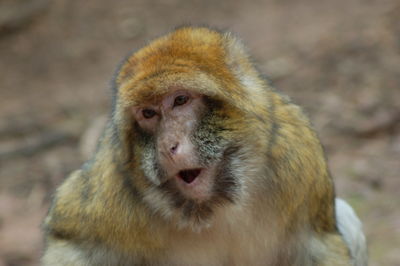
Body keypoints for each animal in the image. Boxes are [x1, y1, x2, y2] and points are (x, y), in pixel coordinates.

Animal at [40, 27, 366, 266]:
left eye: (180, 100)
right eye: (148, 113)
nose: (167, 146)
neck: (214, 208)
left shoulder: (297, 157)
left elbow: (317, 245)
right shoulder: (114, 188)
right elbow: (69, 244)